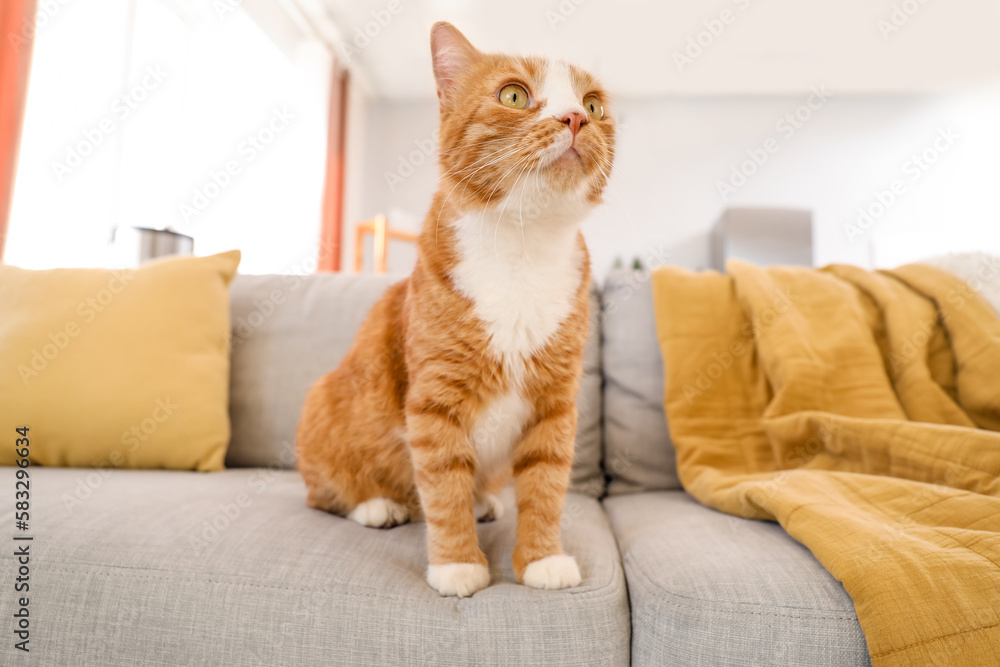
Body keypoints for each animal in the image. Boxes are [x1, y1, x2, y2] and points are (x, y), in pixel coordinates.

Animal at [292, 23, 612, 600]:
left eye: (594, 105)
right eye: (514, 95)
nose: (575, 117)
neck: (522, 248)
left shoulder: (555, 404)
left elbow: (546, 485)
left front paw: (541, 558)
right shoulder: (436, 402)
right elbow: (443, 491)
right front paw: (458, 565)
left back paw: (484, 501)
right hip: (324, 403)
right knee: (324, 494)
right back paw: (377, 505)